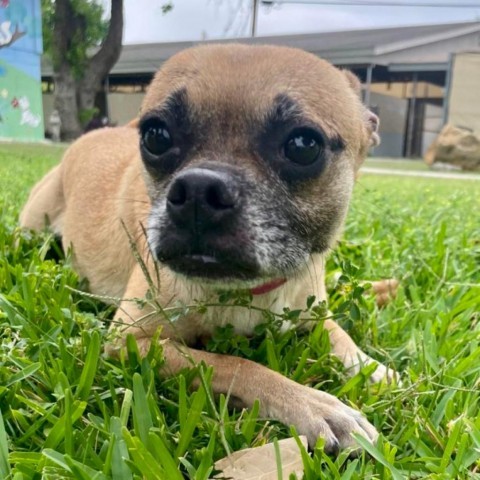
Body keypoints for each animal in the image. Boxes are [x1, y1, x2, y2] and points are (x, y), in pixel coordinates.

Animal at [20, 45, 392, 454]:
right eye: (156, 136)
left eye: (303, 145)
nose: (199, 190)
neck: (249, 292)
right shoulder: (131, 341)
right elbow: (233, 364)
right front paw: (314, 405)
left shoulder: (313, 310)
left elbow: (338, 333)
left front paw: (371, 366)